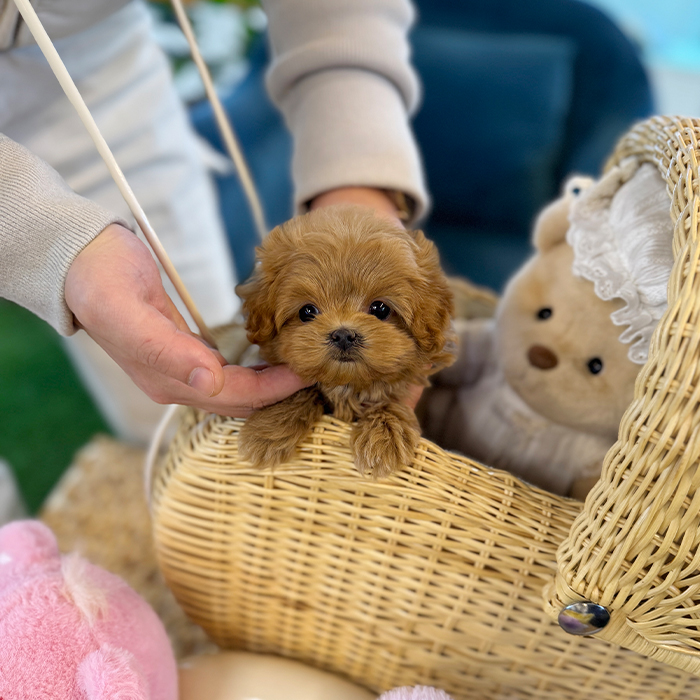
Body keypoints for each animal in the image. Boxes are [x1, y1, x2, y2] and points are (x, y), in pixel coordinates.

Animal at [235, 205, 454, 478]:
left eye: (380, 308)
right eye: (307, 311)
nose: (343, 335)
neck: (347, 385)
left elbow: (390, 398)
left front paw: (384, 438)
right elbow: (302, 390)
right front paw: (268, 430)